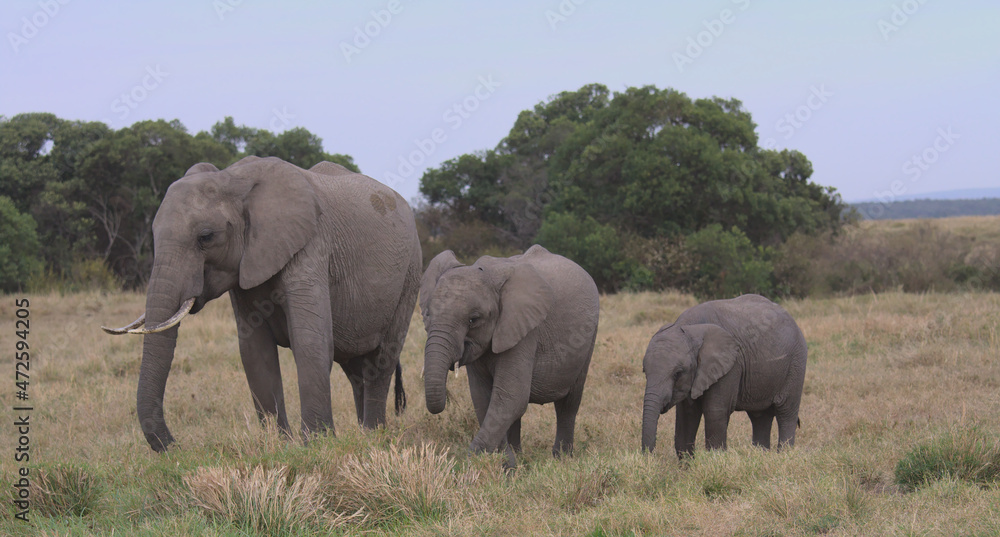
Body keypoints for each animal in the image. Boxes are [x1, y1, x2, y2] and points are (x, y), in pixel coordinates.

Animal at [102, 156, 421, 452]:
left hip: (410, 274)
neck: (235, 180)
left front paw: (317, 445)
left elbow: (310, 342)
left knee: (382, 361)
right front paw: (281, 446)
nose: (177, 447)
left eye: (206, 237)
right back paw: (363, 434)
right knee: (357, 370)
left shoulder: (311, 246)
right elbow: (255, 353)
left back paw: (373, 436)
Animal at [419, 245, 600, 466]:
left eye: (473, 320)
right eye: (428, 314)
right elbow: (483, 398)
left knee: (569, 403)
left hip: (589, 337)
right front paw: (507, 463)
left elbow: (510, 396)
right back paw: (520, 453)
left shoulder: (524, 330)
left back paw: (562, 458)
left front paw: (479, 463)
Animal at [641, 294, 807, 458]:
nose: (649, 457)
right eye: (644, 372)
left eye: (678, 373)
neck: (690, 328)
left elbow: (715, 411)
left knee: (786, 412)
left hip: (796, 364)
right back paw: (761, 456)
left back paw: (784, 455)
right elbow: (687, 415)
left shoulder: (731, 366)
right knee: (760, 417)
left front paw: (715, 458)